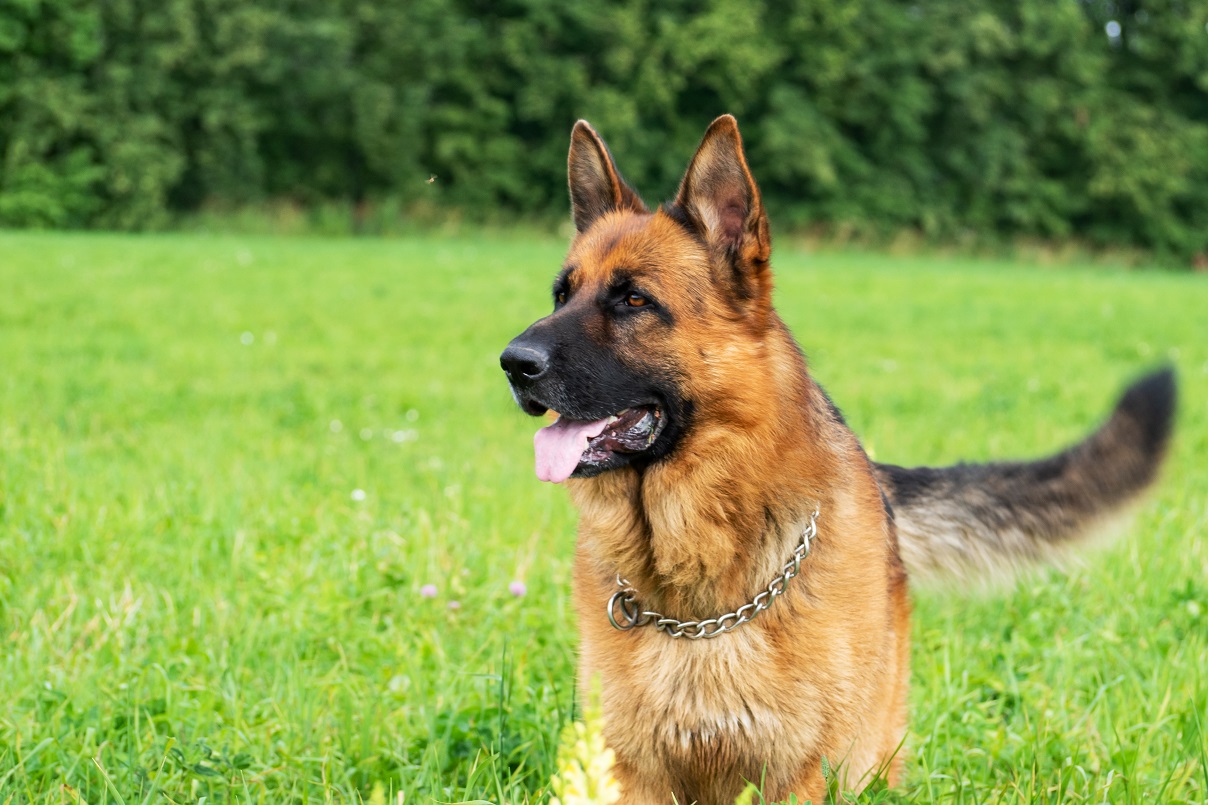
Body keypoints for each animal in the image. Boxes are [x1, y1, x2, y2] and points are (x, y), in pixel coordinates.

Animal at [495, 116, 1174, 797]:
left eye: (634, 300)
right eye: (561, 296)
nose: (512, 363)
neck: (700, 604)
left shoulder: (796, 777)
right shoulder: (629, 774)